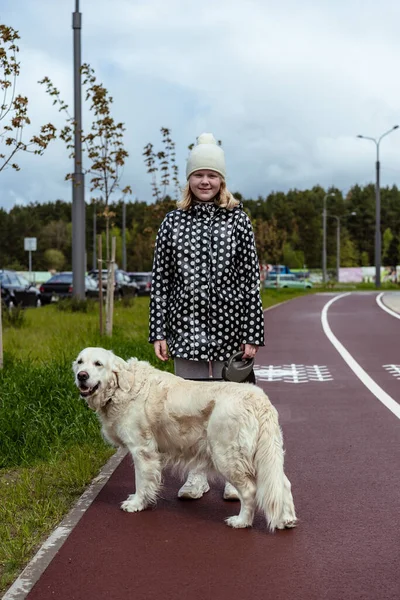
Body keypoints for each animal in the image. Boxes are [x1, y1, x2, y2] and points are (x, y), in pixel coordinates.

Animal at [73, 344, 296, 532]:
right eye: (80, 362)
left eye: (98, 364)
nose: (81, 376)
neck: (123, 388)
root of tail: (259, 399)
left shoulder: (141, 450)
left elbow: (141, 480)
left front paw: (136, 503)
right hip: (265, 455)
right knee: (283, 484)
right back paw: (287, 520)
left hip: (226, 455)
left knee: (249, 491)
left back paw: (241, 521)